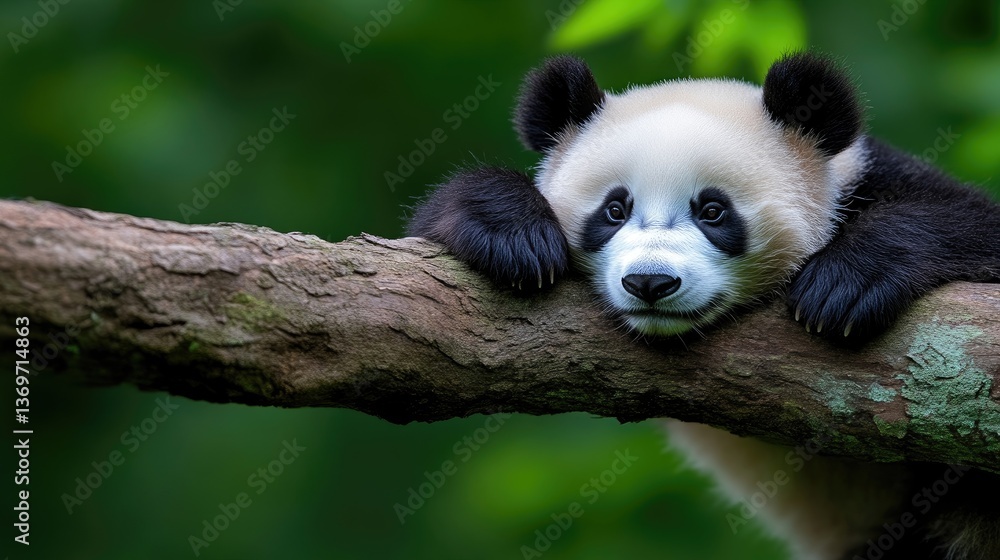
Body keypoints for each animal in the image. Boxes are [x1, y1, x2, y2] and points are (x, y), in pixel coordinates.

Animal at [408, 53, 1000, 559]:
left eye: (713, 210)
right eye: (615, 209)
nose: (650, 282)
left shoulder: (876, 177)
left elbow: (971, 225)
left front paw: (845, 284)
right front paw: (512, 234)